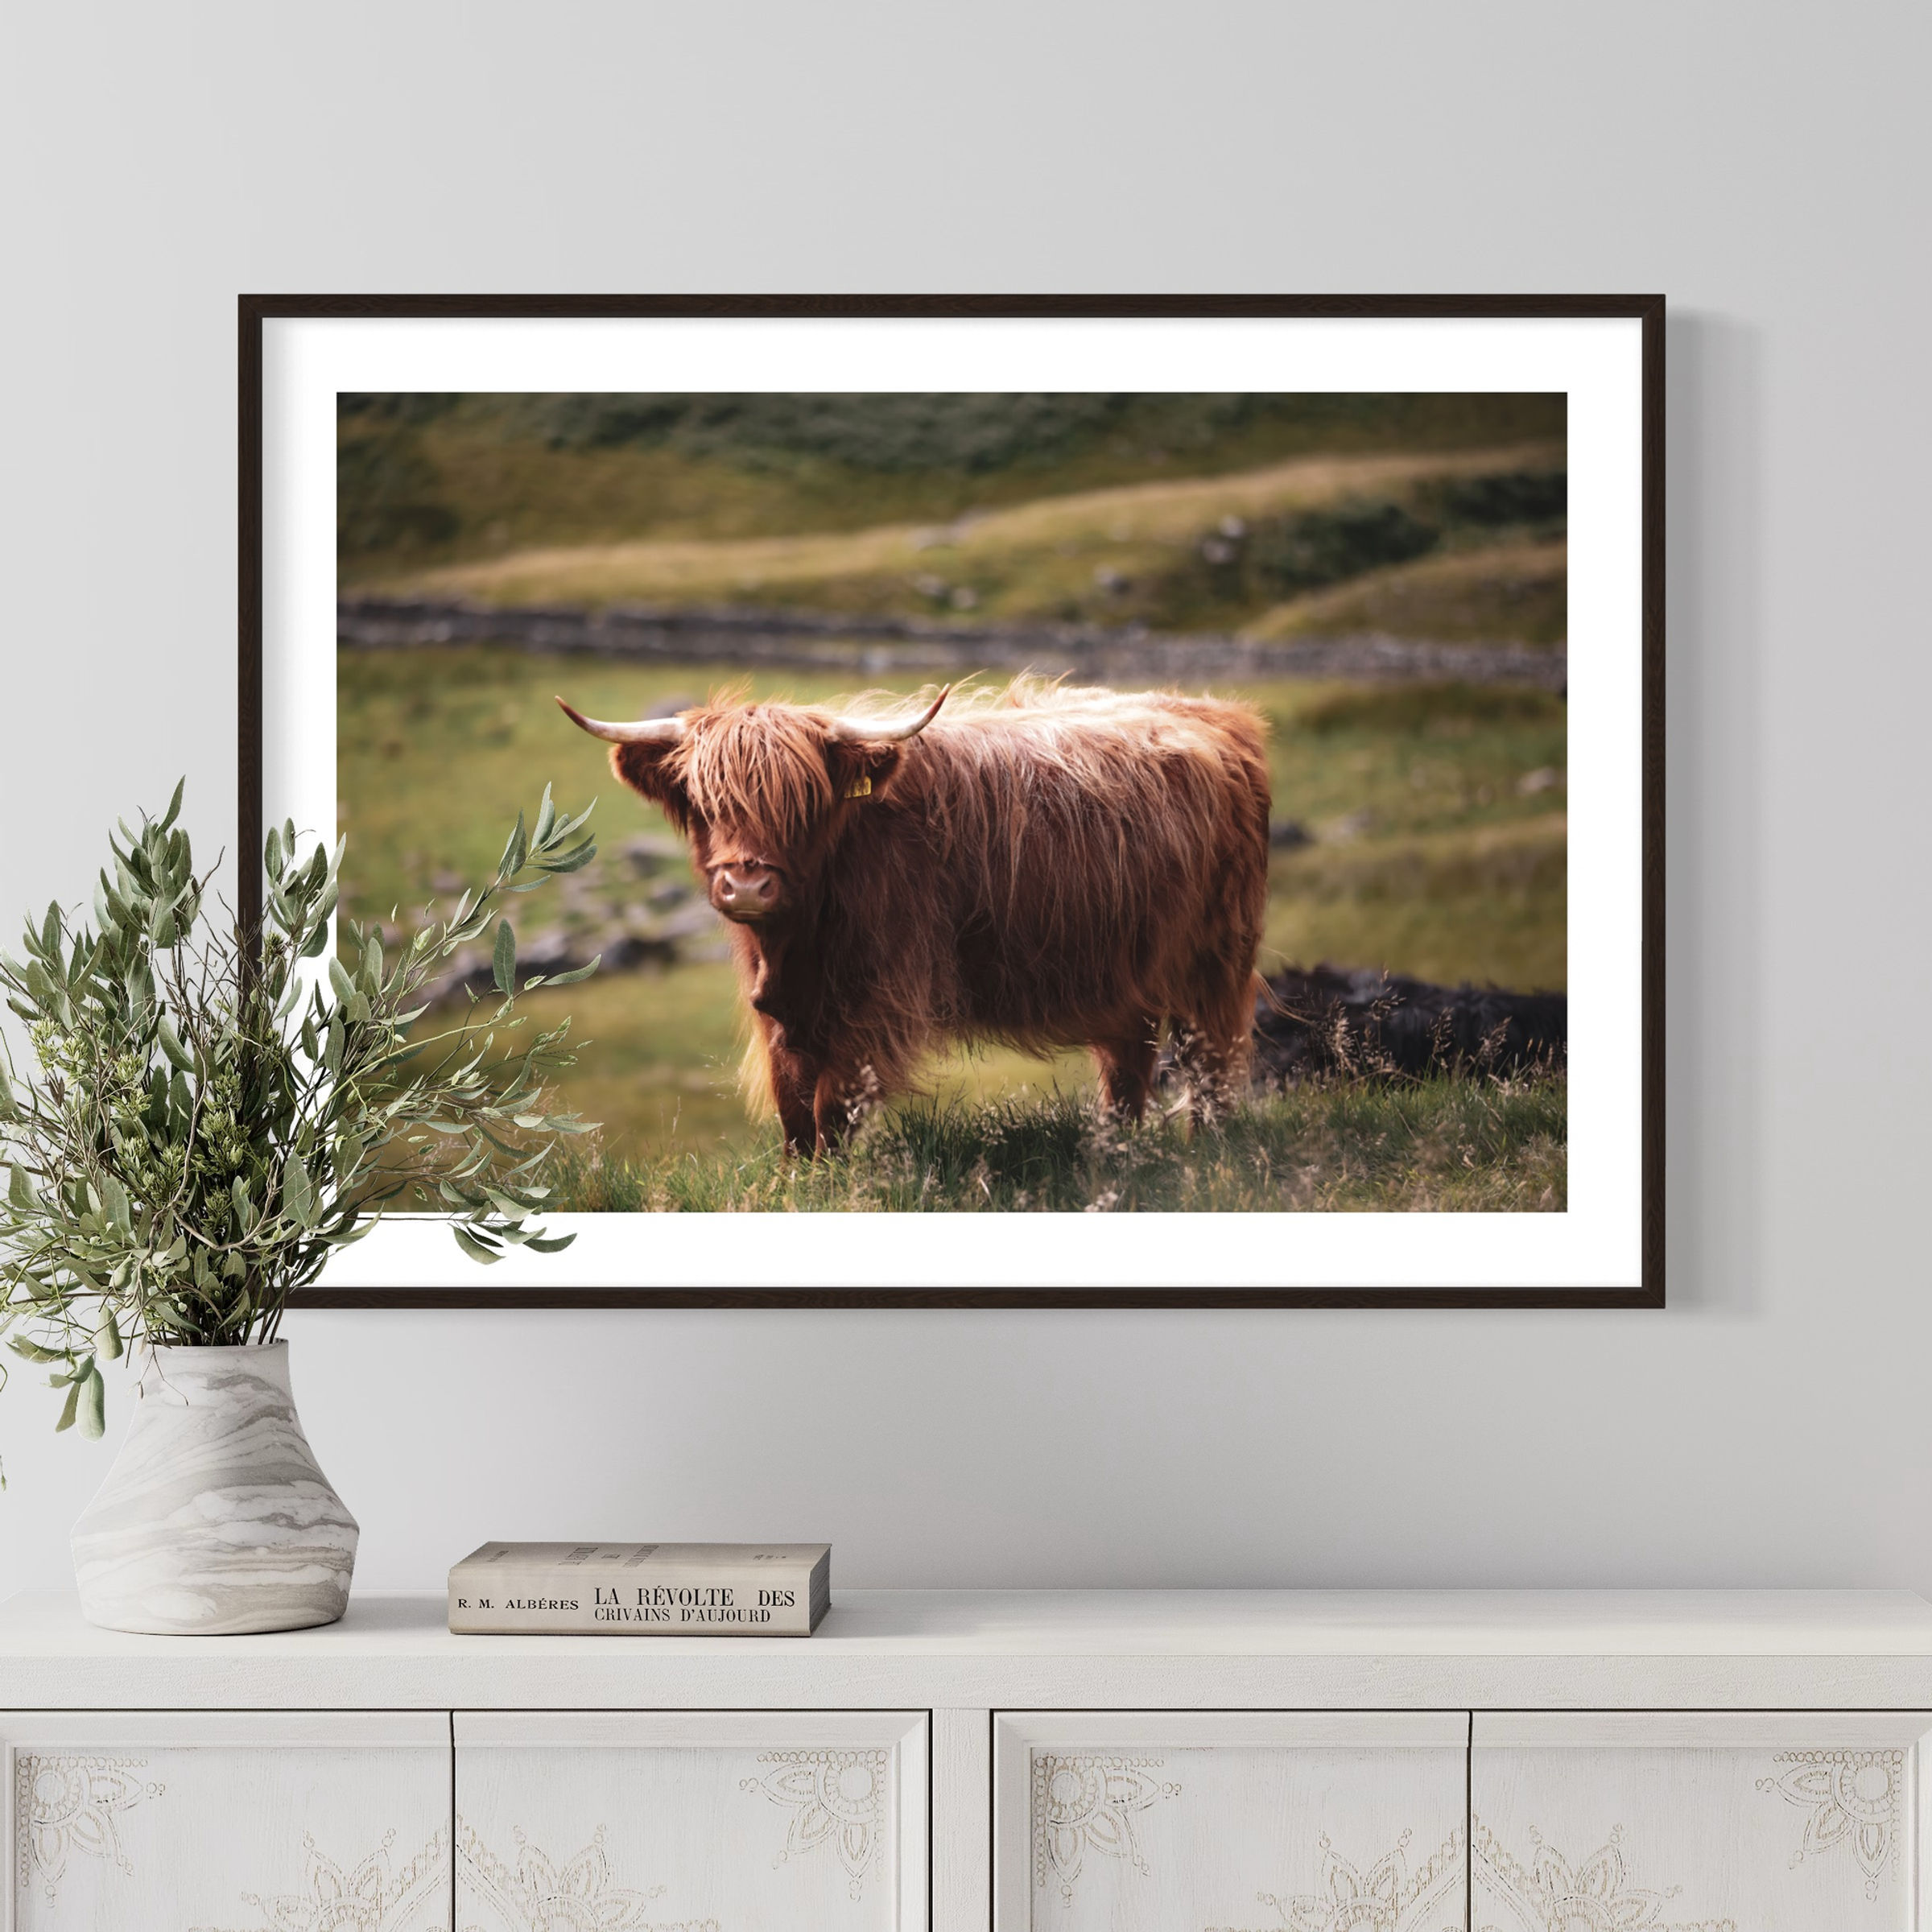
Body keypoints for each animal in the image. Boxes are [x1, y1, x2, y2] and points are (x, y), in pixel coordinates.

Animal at [559, 677, 1271, 1154]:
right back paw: (1115, 1152)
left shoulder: (875, 1002)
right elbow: (795, 1112)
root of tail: (1218, 714)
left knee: (1210, 1062)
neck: (797, 944)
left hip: (1216, 960)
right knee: (1129, 1062)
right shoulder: (784, 1014)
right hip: (1126, 971)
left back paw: (1204, 1154)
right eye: (704, 801)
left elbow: (832, 1107)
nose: (746, 885)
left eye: (805, 802)